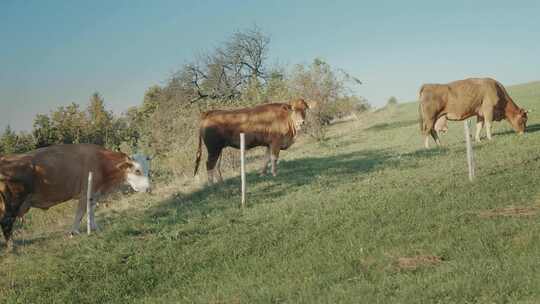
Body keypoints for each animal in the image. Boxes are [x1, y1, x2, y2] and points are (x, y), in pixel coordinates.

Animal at [0, 144, 150, 251]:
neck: (102, 162)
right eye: (137, 170)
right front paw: (74, 232)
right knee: (6, 222)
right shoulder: (85, 193)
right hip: (13, 202)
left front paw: (95, 228)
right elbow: (80, 213)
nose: (149, 188)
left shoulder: (93, 194)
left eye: (148, 169)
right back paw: (12, 247)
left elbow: (91, 212)